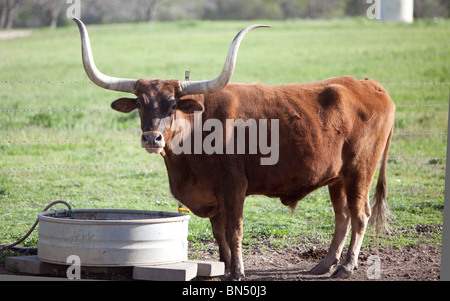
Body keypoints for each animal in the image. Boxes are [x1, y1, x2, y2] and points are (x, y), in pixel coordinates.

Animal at [73, 17, 394, 278]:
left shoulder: (234, 186)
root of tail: (370, 85)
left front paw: (238, 271)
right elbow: (219, 235)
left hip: (360, 170)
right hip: (337, 177)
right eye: (140, 103)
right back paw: (325, 264)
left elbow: (234, 231)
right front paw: (225, 267)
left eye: (173, 104)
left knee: (360, 215)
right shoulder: (214, 196)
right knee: (342, 217)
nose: (152, 138)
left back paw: (347, 266)